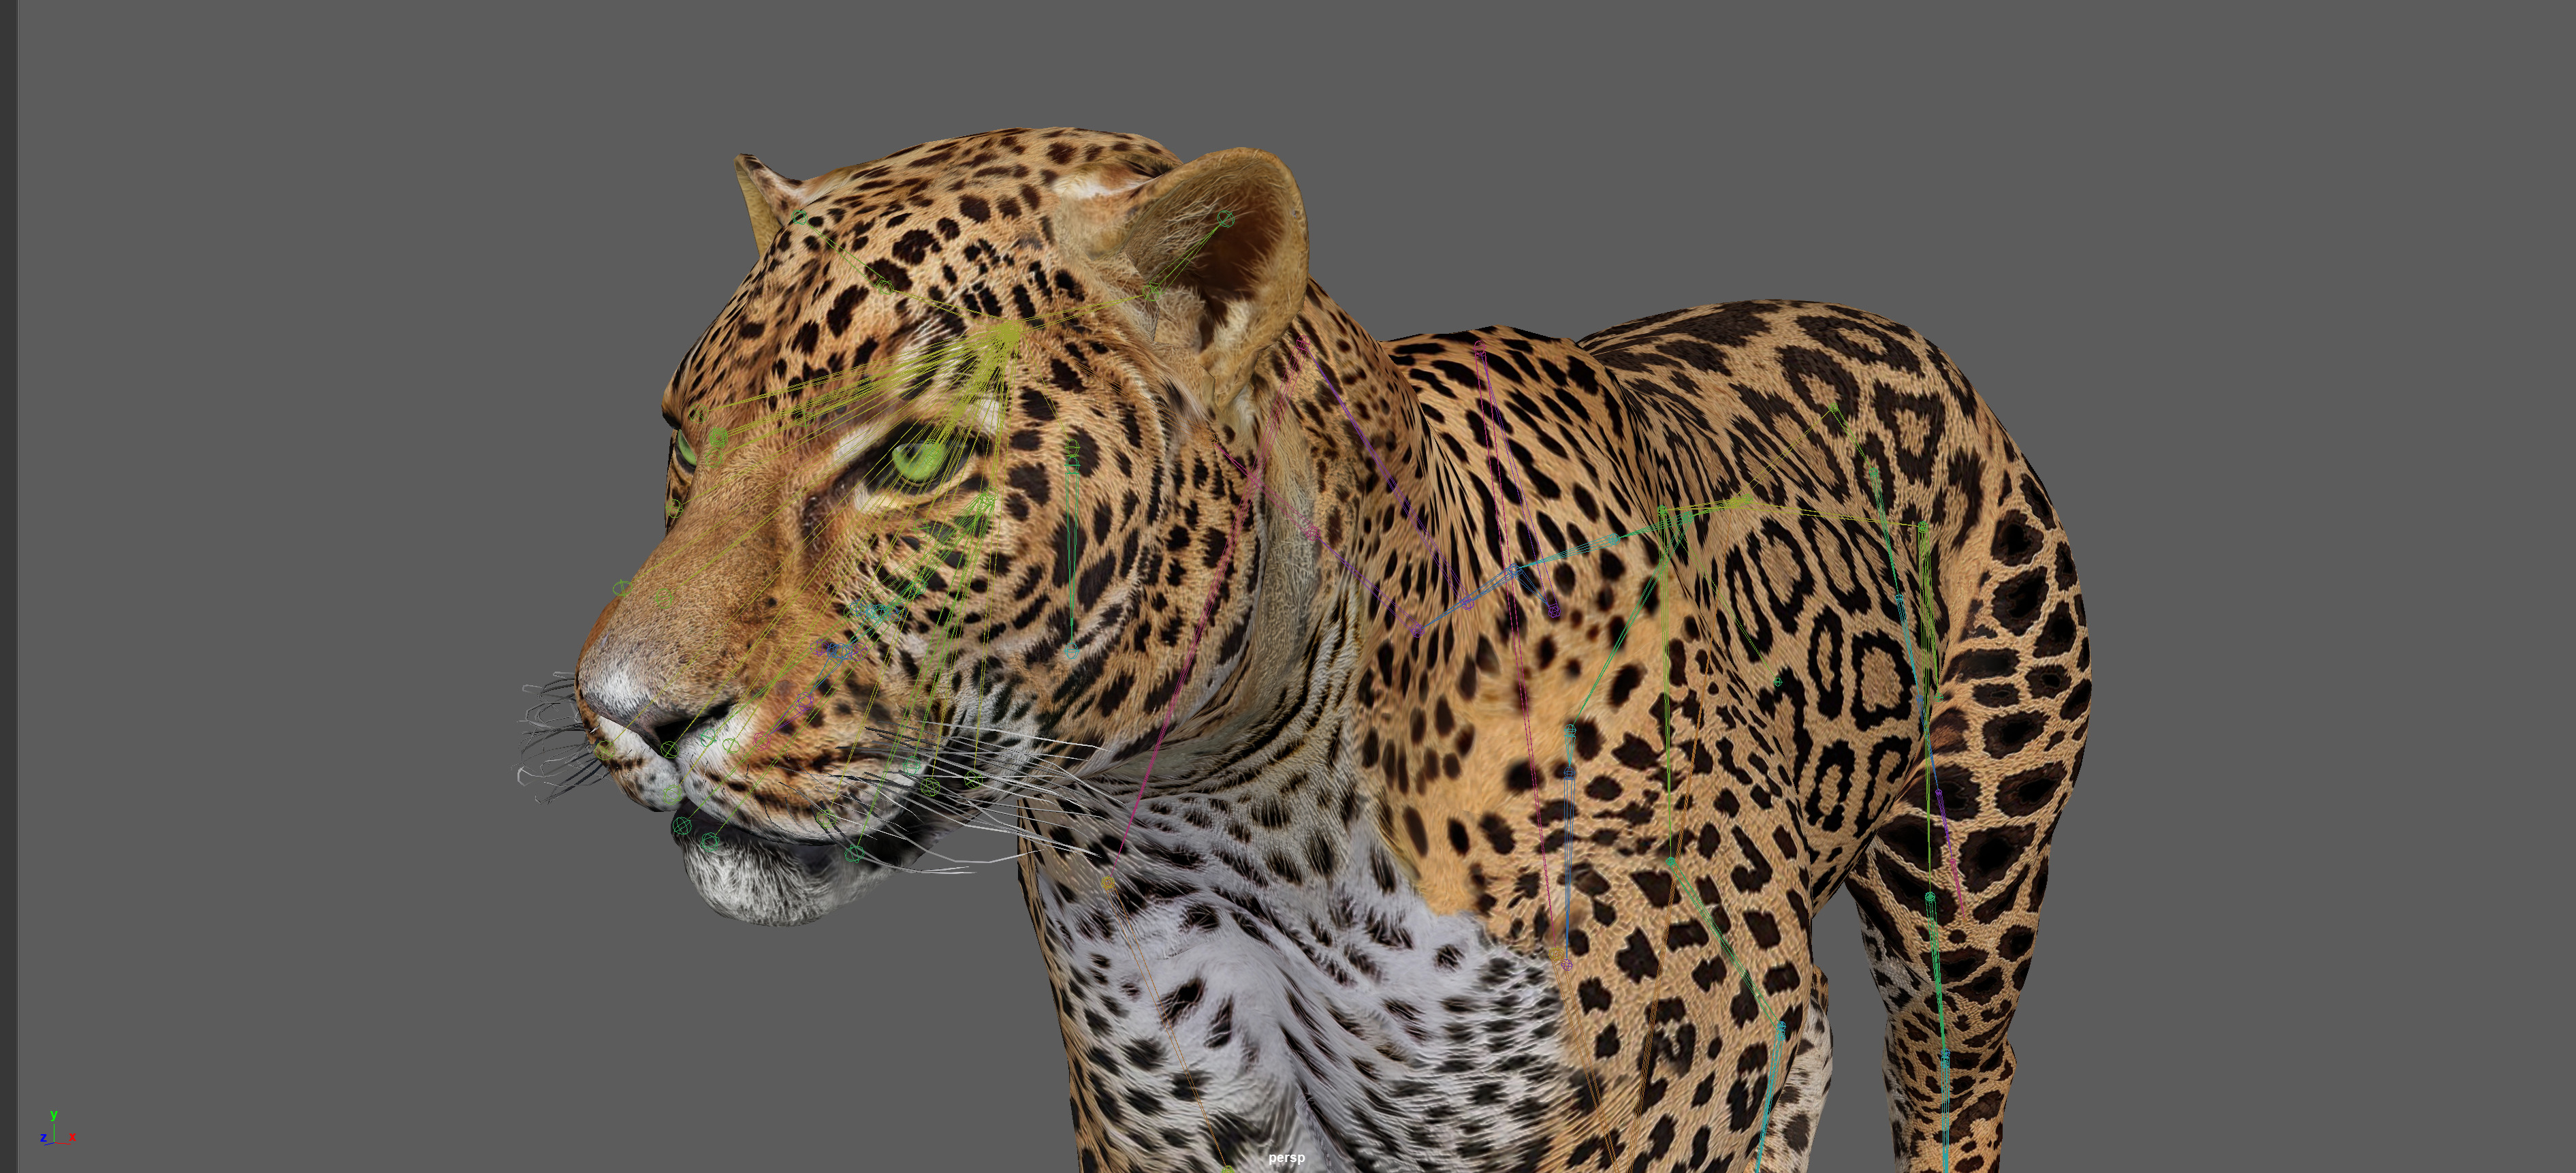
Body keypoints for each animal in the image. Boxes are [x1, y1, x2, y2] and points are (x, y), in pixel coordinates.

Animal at [563, 127, 2090, 1173]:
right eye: (684, 442)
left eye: (915, 457)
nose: (627, 711)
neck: (1251, 813)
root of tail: (1877, 318)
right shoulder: (1181, 1127)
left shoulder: (1713, 1093)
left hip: (1968, 885)